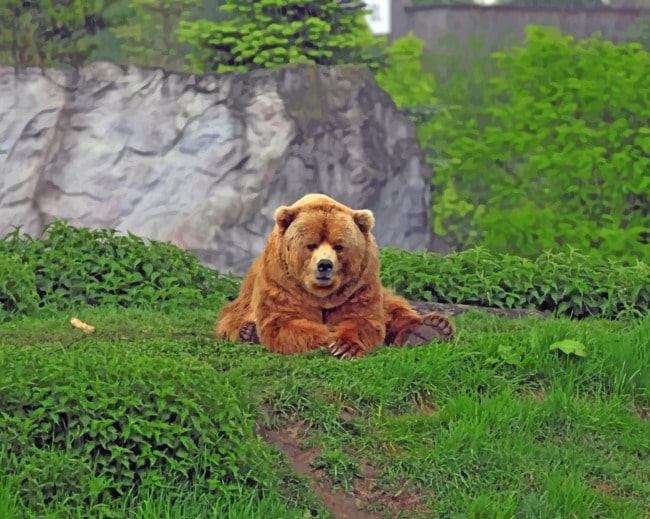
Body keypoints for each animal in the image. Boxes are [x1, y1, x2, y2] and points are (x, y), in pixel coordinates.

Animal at [215, 194, 455, 358]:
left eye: (339, 246)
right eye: (310, 245)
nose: (324, 265)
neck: (322, 295)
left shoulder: (360, 286)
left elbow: (363, 320)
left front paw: (344, 346)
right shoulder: (281, 284)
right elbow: (284, 322)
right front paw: (327, 338)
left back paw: (431, 329)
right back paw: (248, 332)